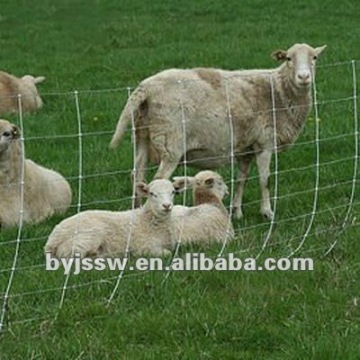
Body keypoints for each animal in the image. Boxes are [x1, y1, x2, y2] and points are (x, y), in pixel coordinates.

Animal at [45, 179, 177, 258]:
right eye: (152, 194)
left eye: (173, 192)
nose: (166, 206)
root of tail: (51, 241)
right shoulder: (144, 246)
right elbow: (167, 253)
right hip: (86, 237)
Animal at [109, 42, 326, 219]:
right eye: (288, 58)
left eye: (314, 57)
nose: (304, 77)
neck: (278, 91)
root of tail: (145, 88)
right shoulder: (264, 143)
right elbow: (265, 180)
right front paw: (267, 213)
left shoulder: (245, 148)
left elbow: (241, 179)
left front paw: (236, 212)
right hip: (171, 143)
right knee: (157, 180)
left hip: (142, 136)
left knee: (137, 176)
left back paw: (137, 213)